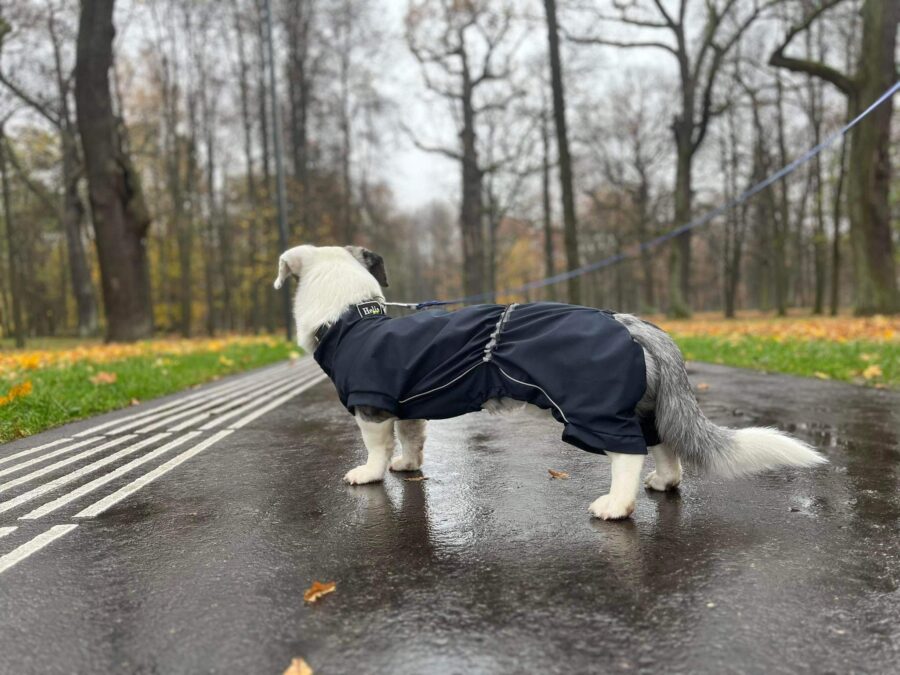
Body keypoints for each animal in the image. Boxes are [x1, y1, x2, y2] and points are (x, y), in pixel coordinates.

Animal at [272, 247, 824, 524]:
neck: (352, 315)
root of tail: (630, 324)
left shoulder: (371, 408)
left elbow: (376, 448)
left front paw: (369, 474)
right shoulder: (407, 405)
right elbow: (412, 439)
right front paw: (407, 467)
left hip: (589, 410)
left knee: (627, 454)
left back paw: (616, 506)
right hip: (645, 408)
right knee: (664, 444)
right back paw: (663, 483)